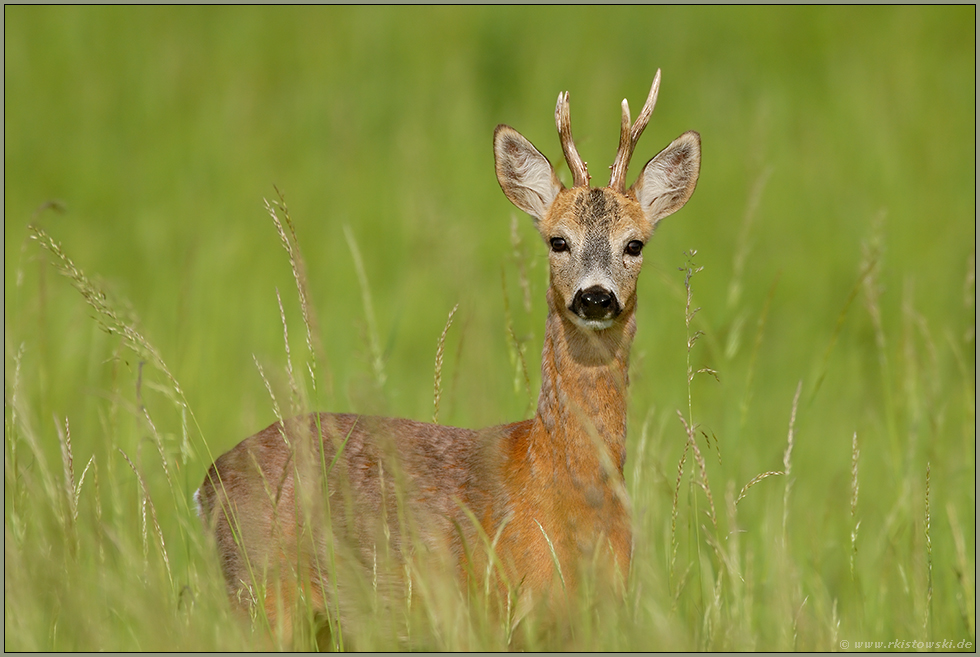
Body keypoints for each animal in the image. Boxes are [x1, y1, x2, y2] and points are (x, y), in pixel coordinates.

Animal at [199, 72, 700, 640]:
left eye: (635, 245)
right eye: (558, 241)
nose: (595, 297)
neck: (563, 491)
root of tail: (208, 483)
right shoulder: (498, 606)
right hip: (260, 594)